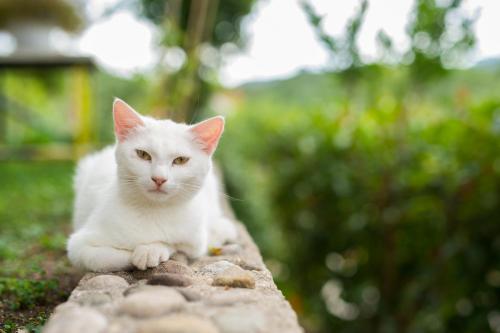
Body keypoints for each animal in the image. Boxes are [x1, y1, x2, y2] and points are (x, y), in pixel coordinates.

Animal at [67, 97, 236, 272]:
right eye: (142, 154)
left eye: (180, 160)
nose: (159, 179)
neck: (154, 211)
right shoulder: (79, 247)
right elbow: (111, 257)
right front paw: (139, 252)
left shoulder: (195, 242)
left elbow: (176, 245)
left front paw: (151, 250)